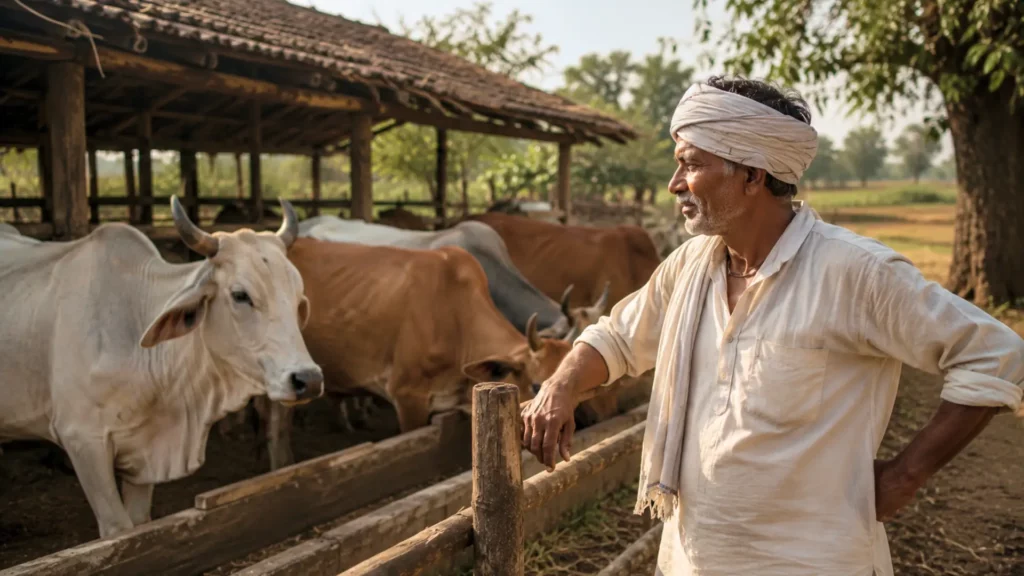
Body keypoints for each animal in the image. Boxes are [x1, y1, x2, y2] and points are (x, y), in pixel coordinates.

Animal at [0, 196, 323, 538]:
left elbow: (141, 524)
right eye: (240, 295)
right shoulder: (83, 440)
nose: (308, 379)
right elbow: (118, 531)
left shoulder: (145, 455)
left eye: (297, 297)